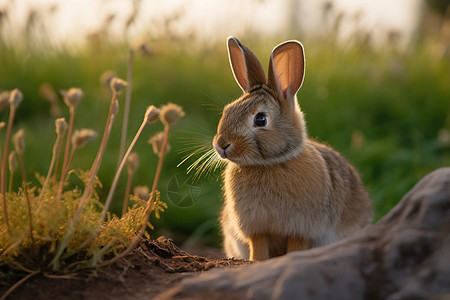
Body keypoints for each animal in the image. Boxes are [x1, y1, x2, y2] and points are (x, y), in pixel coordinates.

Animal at [214, 37, 372, 262]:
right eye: (227, 111)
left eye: (260, 119)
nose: (221, 144)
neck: (269, 163)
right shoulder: (257, 229)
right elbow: (258, 249)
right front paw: (256, 263)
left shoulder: (301, 229)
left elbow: (296, 248)